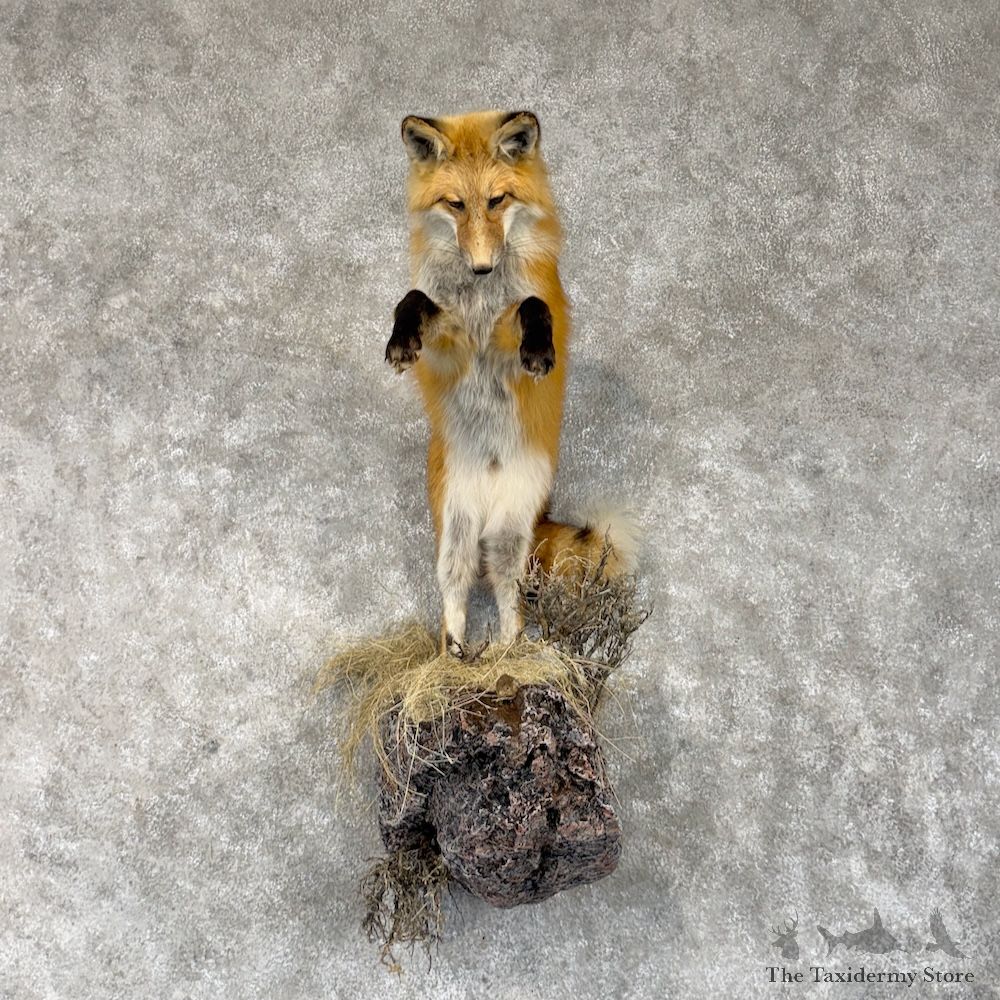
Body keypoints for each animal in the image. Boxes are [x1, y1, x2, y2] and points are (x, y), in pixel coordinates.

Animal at [385, 109, 636, 657]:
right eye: (455, 204)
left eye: (498, 200)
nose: (482, 266)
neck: (480, 304)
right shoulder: (450, 351)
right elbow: (413, 300)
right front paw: (401, 339)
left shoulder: (508, 338)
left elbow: (532, 305)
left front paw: (540, 348)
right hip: (456, 533)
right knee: (456, 588)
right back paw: (457, 656)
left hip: (509, 538)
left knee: (508, 597)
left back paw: (507, 652)